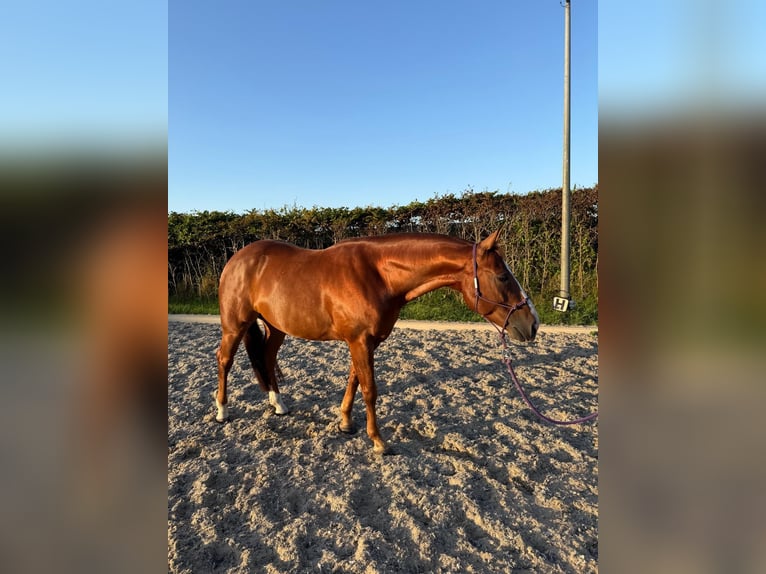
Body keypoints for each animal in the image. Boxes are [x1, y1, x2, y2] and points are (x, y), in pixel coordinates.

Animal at [215, 229, 539, 454]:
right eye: (502, 276)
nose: (532, 324)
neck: (378, 275)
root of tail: (237, 258)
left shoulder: (366, 341)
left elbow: (354, 380)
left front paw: (345, 423)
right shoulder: (360, 341)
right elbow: (370, 389)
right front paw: (379, 441)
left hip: (276, 327)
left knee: (267, 358)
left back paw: (278, 404)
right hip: (234, 325)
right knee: (225, 360)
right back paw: (222, 411)